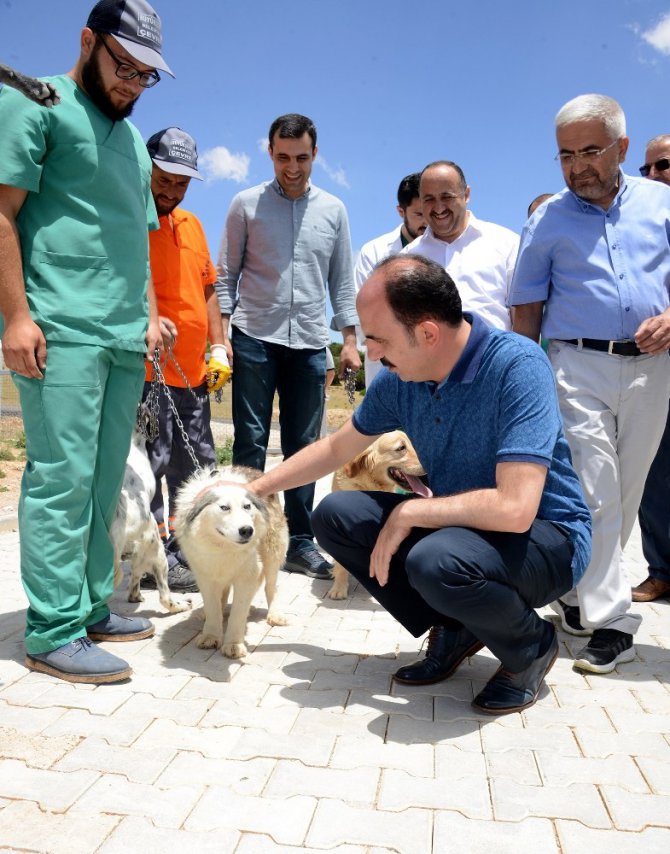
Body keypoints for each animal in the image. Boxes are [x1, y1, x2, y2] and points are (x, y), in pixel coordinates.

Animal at [173, 468, 288, 664]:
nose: (247, 530)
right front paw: (211, 635)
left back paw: (274, 614)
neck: (224, 548)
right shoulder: (205, 575)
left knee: (271, 586)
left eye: (247, 507)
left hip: (273, 552)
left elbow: (238, 614)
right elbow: (213, 607)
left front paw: (233, 645)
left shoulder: (247, 576)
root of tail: (257, 471)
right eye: (224, 507)